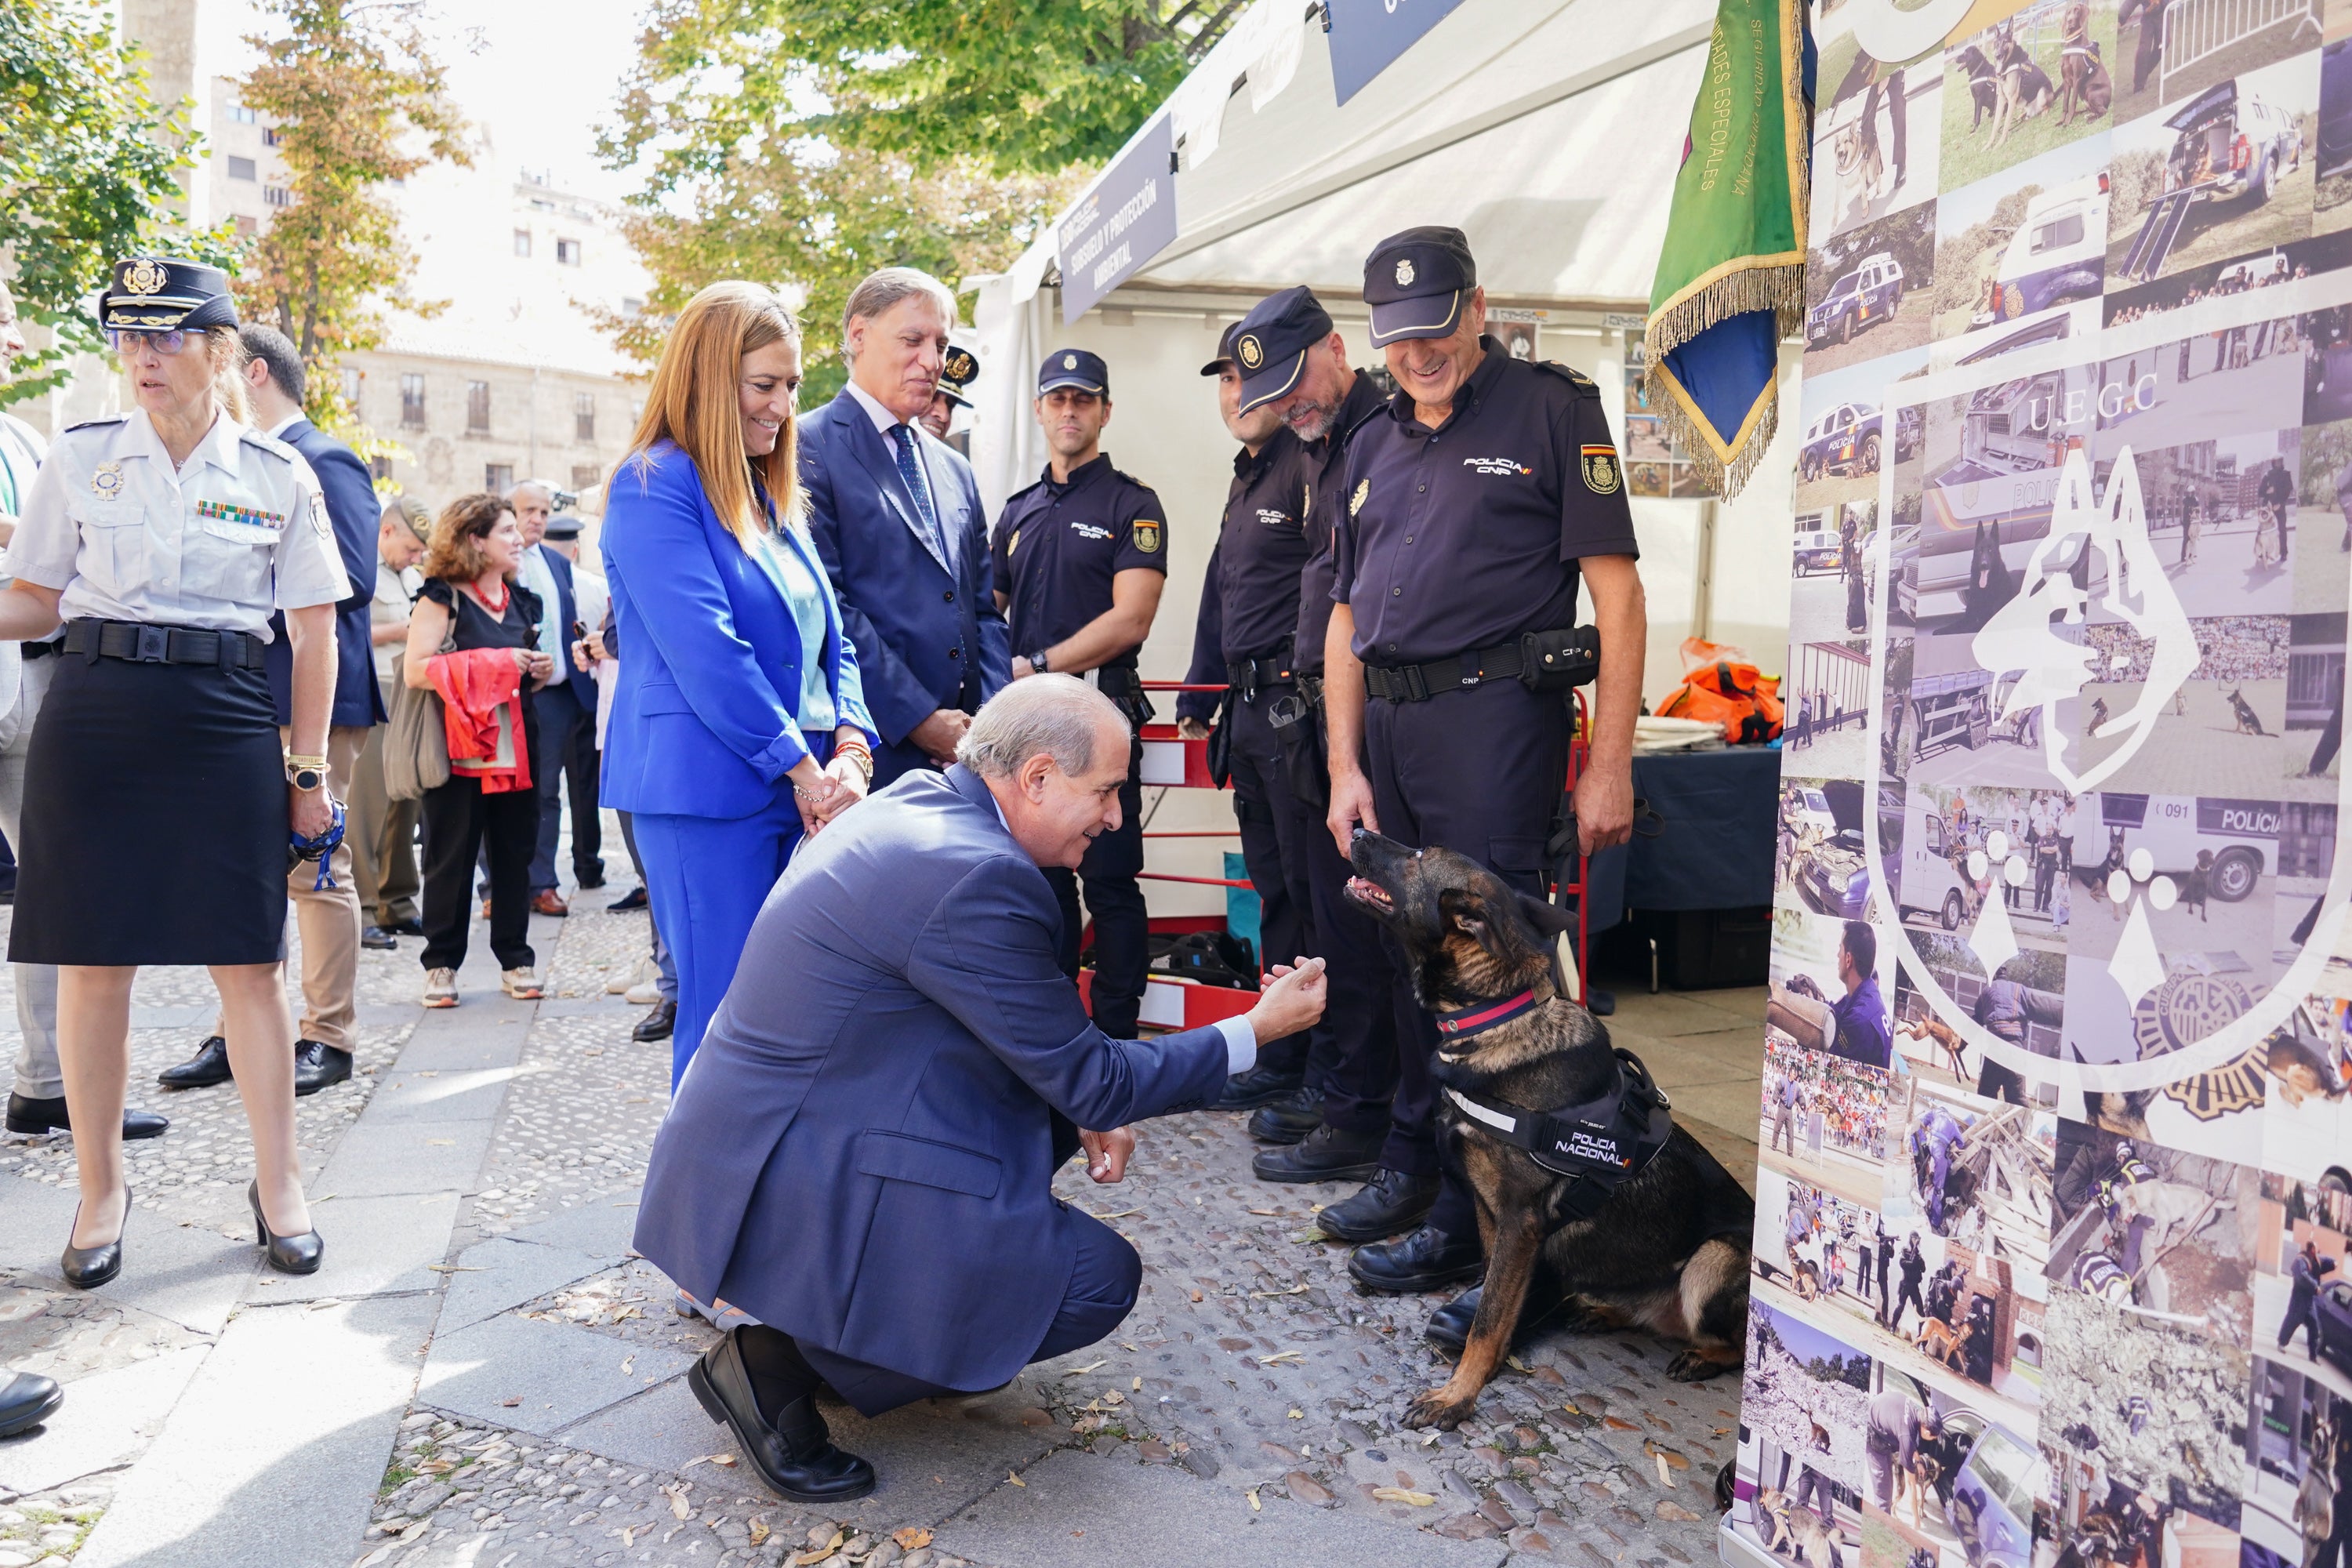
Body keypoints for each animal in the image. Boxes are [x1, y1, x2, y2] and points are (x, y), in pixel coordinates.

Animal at [1336, 841, 1759, 1429]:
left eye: (1418, 855)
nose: (1355, 831)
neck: (1493, 1019)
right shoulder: (1490, 1212)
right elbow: (1492, 1300)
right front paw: (1486, 1367)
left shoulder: (1520, 1219)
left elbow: (1489, 1315)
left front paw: (1456, 1395)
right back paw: (1604, 1311)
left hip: (1711, 1261)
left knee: (1738, 1346)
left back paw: (1702, 1355)